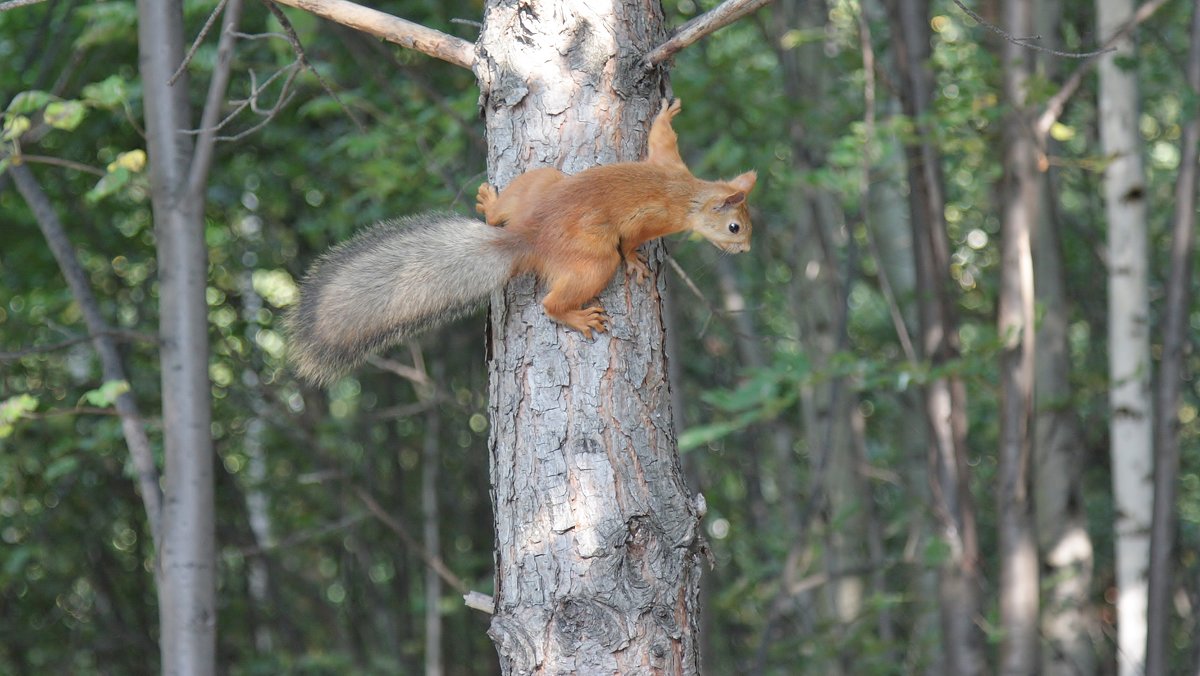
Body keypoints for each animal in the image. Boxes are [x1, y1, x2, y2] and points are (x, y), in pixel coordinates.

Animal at [286, 99, 753, 386]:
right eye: (735, 227)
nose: (746, 250)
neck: (689, 193)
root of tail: (528, 237)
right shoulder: (652, 214)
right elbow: (630, 240)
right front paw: (636, 260)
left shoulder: (667, 162)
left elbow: (659, 139)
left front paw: (666, 114)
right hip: (591, 261)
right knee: (553, 302)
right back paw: (576, 316)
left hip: (541, 181)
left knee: (502, 213)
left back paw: (492, 204)